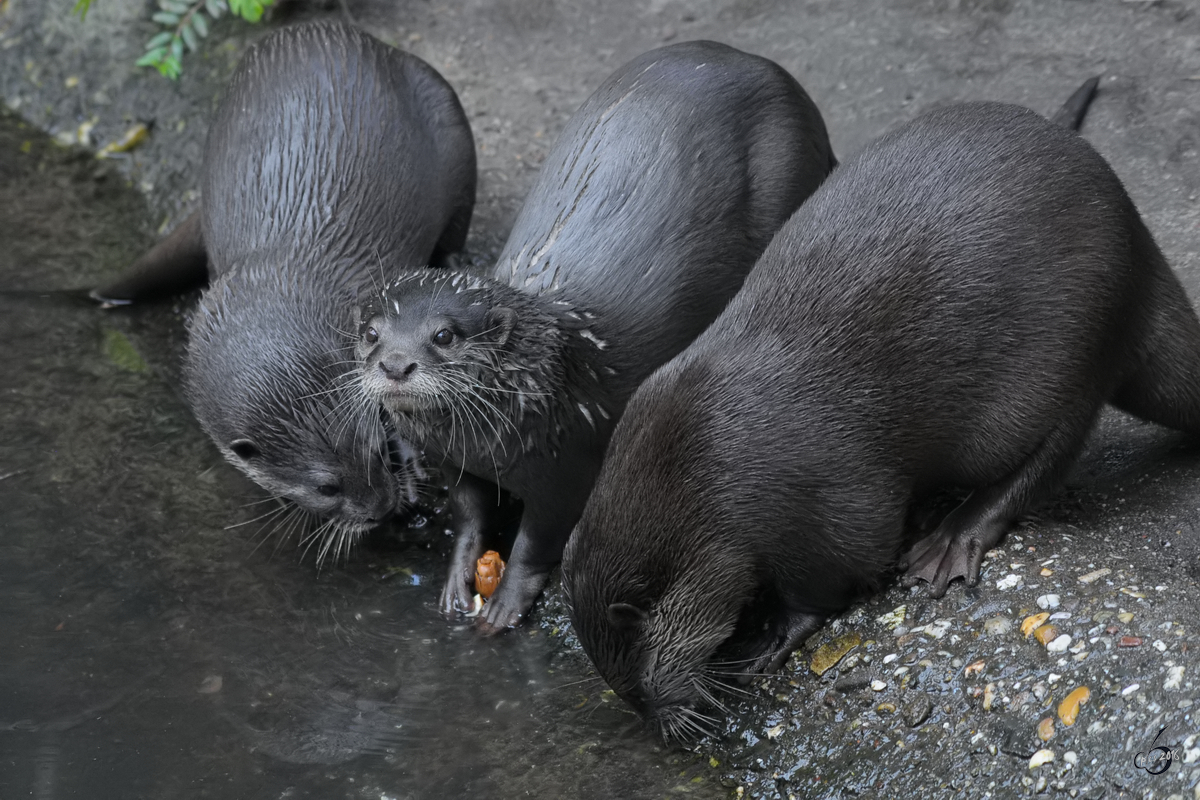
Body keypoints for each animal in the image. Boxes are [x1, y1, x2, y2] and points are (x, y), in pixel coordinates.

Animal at [94, 18, 477, 556]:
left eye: (374, 447)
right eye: (326, 487)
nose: (382, 509)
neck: (279, 273)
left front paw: (413, 460)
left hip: (447, 115)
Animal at [352, 42, 835, 633]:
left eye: (444, 335)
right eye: (371, 333)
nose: (395, 364)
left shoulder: (567, 464)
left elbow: (539, 539)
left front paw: (506, 602)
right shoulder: (457, 464)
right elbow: (468, 516)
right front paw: (458, 581)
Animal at [556, 86, 1195, 738]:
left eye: (639, 679)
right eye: (626, 692)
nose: (661, 726)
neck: (704, 471)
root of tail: (1139, 250)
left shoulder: (821, 502)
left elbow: (836, 573)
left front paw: (767, 639)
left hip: (1072, 347)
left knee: (1046, 455)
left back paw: (950, 538)